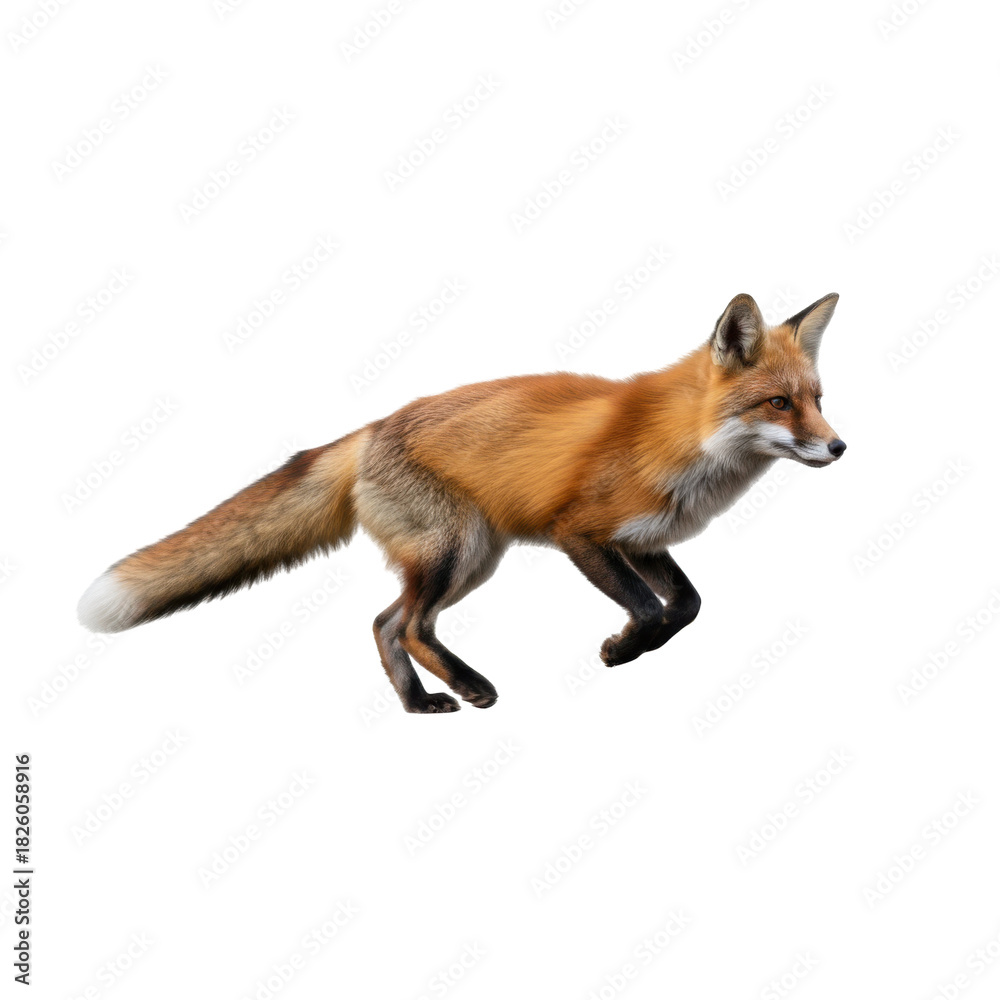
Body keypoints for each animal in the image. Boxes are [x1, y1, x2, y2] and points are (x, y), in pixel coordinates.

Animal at [78, 291, 846, 714]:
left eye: (817, 399)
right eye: (779, 404)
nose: (840, 447)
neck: (683, 442)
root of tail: (372, 428)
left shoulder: (640, 539)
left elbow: (685, 606)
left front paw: (631, 646)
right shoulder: (581, 533)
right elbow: (655, 609)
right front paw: (622, 650)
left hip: (467, 558)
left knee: (386, 623)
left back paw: (419, 704)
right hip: (458, 550)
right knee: (412, 626)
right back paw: (472, 685)